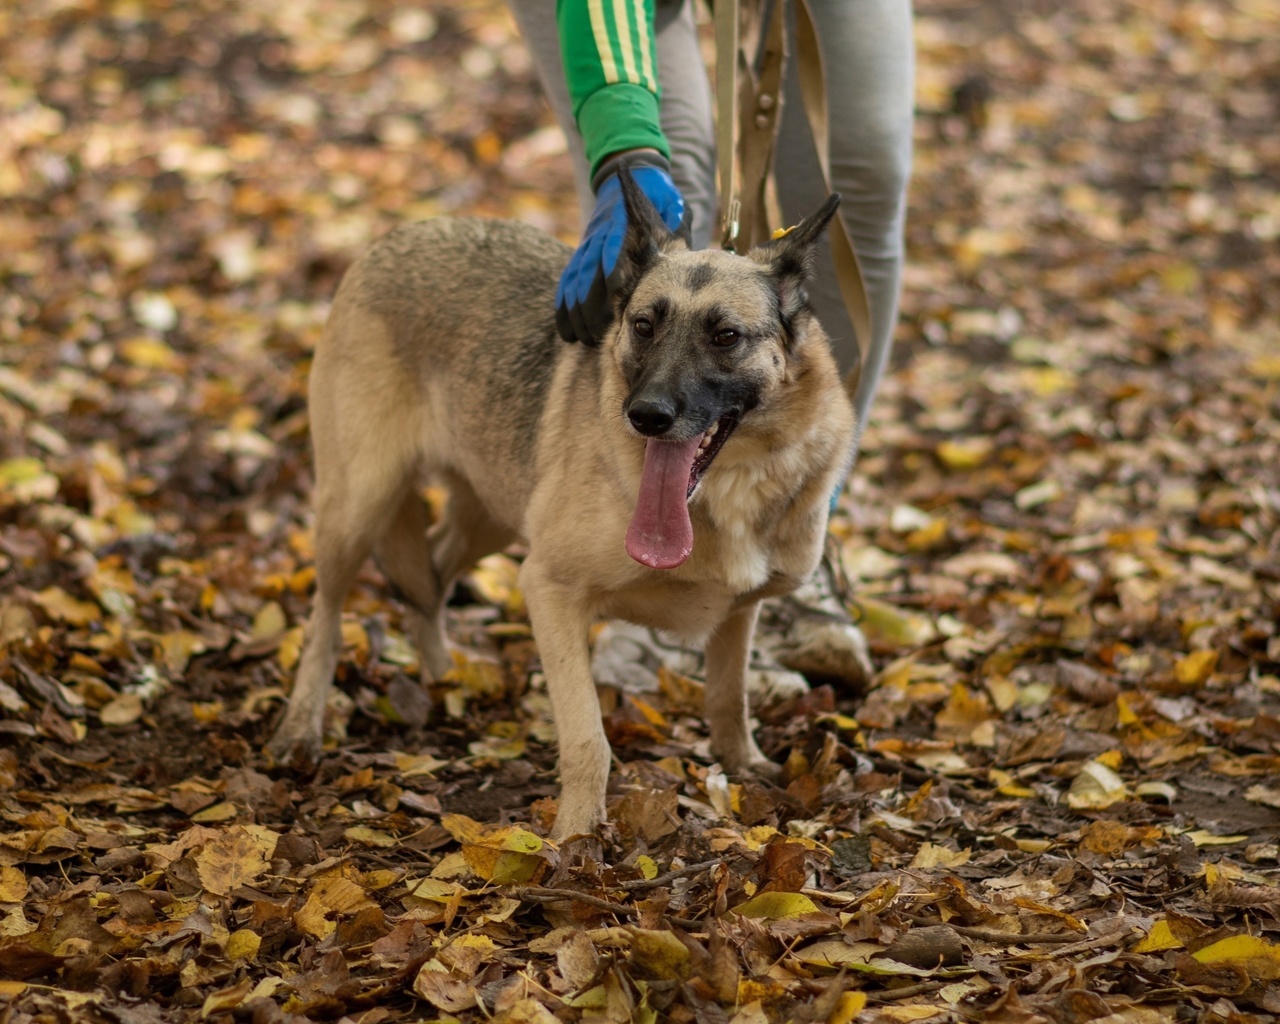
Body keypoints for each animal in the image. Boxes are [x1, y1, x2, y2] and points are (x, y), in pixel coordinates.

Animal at [267, 170, 849, 839]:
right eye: (644, 326)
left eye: (725, 336)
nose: (646, 416)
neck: (726, 490)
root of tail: (398, 235)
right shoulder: (548, 590)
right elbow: (587, 739)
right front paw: (575, 840)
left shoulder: (737, 612)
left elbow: (729, 698)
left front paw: (744, 767)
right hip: (360, 506)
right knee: (326, 617)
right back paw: (301, 725)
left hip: (492, 514)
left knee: (429, 574)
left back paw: (444, 677)